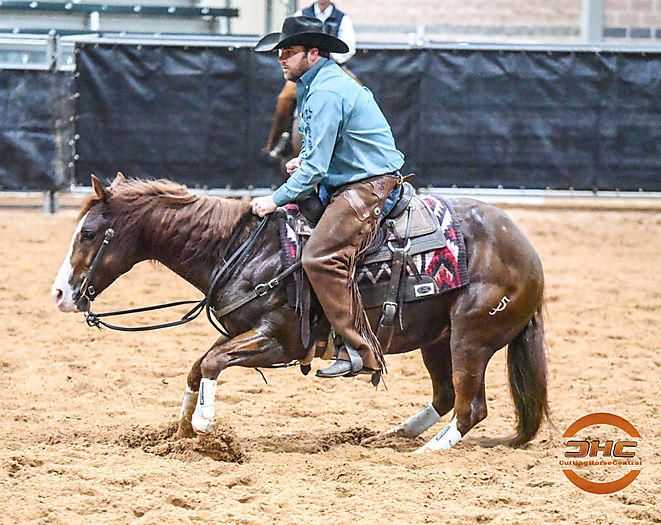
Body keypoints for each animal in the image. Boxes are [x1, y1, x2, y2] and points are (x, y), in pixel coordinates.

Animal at [51, 173, 549, 453]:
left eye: (90, 233)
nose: (59, 293)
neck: (241, 248)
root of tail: (527, 251)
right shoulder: (240, 330)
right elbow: (198, 365)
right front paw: (184, 431)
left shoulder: (279, 342)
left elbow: (212, 362)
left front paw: (204, 425)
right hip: (437, 339)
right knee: (446, 398)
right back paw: (392, 436)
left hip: (471, 337)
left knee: (470, 408)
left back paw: (426, 453)